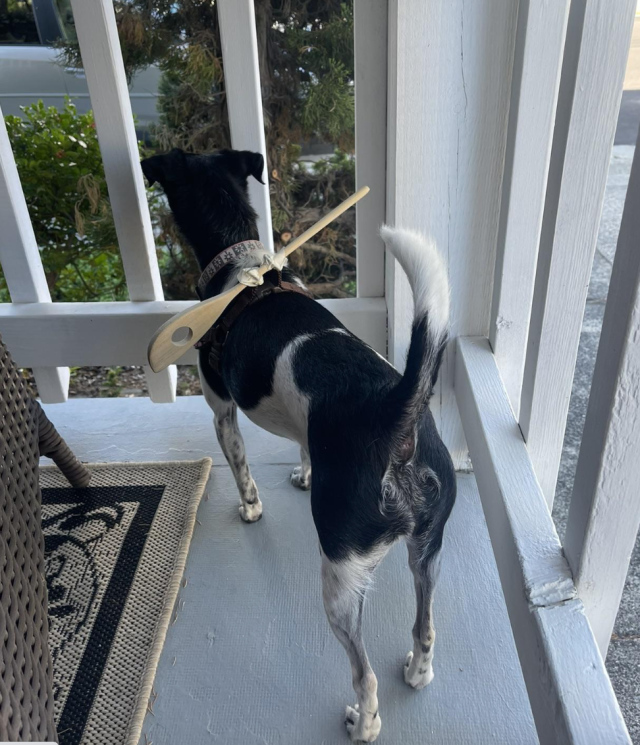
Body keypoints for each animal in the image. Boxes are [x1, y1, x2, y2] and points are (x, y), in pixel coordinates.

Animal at [143, 148, 458, 740]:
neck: (242, 267)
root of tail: (395, 419)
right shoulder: (299, 420)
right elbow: (303, 445)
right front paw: (304, 473)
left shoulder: (221, 411)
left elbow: (241, 471)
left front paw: (250, 509)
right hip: (427, 551)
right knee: (425, 627)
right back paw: (417, 671)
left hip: (339, 582)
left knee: (364, 676)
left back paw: (363, 723)